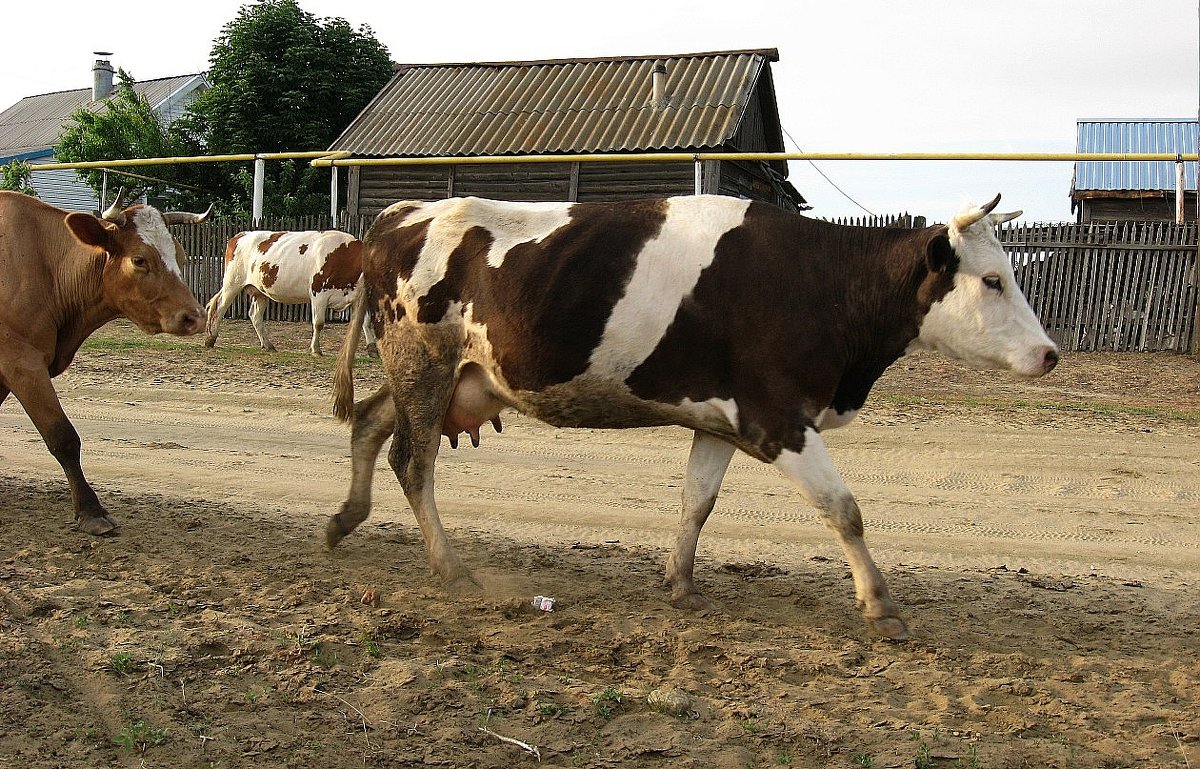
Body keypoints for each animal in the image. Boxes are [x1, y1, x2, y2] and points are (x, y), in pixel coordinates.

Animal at [0, 189, 211, 532]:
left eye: (180, 257)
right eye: (139, 259)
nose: (195, 317)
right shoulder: (21, 362)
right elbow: (62, 436)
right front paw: (91, 510)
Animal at [205, 229, 374, 355]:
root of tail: (239, 235)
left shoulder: (358, 297)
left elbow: (365, 322)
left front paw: (372, 349)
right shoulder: (319, 293)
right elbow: (318, 323)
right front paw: (316, 349)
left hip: (259, 291)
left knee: (255, 315)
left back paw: (268, 345)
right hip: (232, 282)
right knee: (220, 307)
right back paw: (211, 339)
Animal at [328, 194, 1060, 638]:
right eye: (992, 280)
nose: (1050, 353)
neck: (820, 285)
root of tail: (401, 213)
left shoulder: (719, 422)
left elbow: (696, 504)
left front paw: (680, 582)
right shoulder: (778, 419)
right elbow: (844, 509)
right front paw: (880, 604)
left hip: (432, 375)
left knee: (369, 423)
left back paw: (344, 519)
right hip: (422, 364)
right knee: (412, 461)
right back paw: (449, 566)